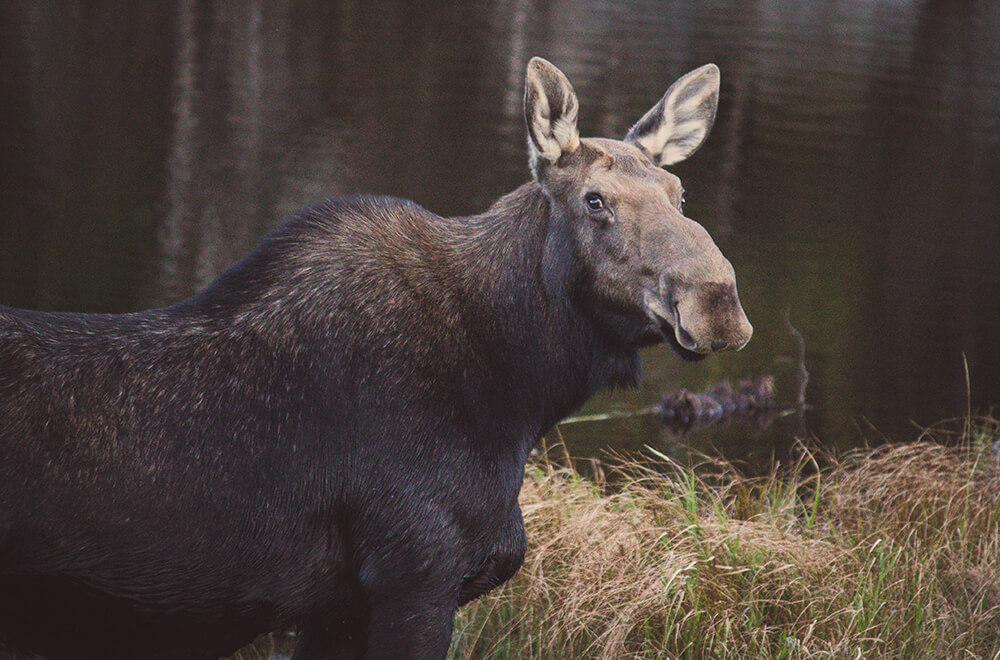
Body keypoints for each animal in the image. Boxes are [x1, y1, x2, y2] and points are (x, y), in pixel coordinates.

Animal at [0, 59, 752, 656]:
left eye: (680, 195)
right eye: (595, 201)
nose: (716, 302)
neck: (520, 396)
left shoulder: (334, 605)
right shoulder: (413, 575)